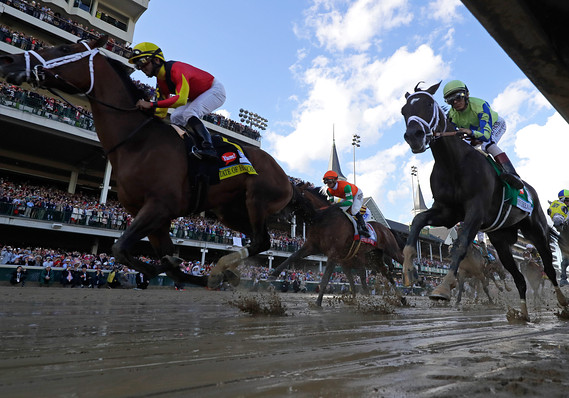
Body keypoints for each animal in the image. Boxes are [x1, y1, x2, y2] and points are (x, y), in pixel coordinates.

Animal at [0, 36, 292, 286]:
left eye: (64, 48)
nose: (8, 60)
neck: (137, 142)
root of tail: (288, 178)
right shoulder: (152, 216)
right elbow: (164, 264)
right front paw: (181, 268)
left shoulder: (160, 206)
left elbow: (120, 248)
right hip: (229, 212)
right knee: (260, 240)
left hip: (257, 199)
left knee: (261, 241)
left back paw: (225, 264)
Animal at [272, 183, 406, 304]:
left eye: (292, 196)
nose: (279, 213)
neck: (323, 218)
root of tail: (386, 229)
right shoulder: (312, 246)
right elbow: (292, 256)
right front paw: (273, 274)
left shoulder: (334, 254)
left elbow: (326, 279)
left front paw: (317, 303)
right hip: (374, 258)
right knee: (386, 273)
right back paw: (402, 298)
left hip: (391, 250)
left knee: (402, 261)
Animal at [400, 81, 564, 320]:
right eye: (404, 111)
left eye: (429, 104)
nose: (414, 135)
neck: (453, 164)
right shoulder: (447, 212)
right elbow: (418, 222)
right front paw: (409, 271)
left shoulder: (476, 210)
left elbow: (460, 245)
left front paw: (443, 287)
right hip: (501, 242)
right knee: (519, 279)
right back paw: (522, 314)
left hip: (537, 230)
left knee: (550, 270)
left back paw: (562, 303)